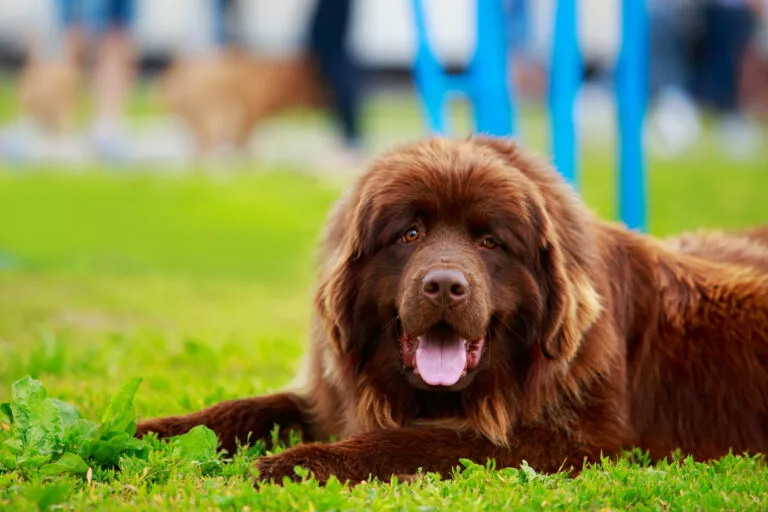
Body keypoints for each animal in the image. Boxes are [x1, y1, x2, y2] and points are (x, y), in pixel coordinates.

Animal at [136, 137, 768, 484]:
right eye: (410, 234)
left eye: (489, 242)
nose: (444, 286)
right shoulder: (330, 397)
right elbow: (244, 410)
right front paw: (149, 431)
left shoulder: (566, 441)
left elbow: (414, 440)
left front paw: (295, 463)